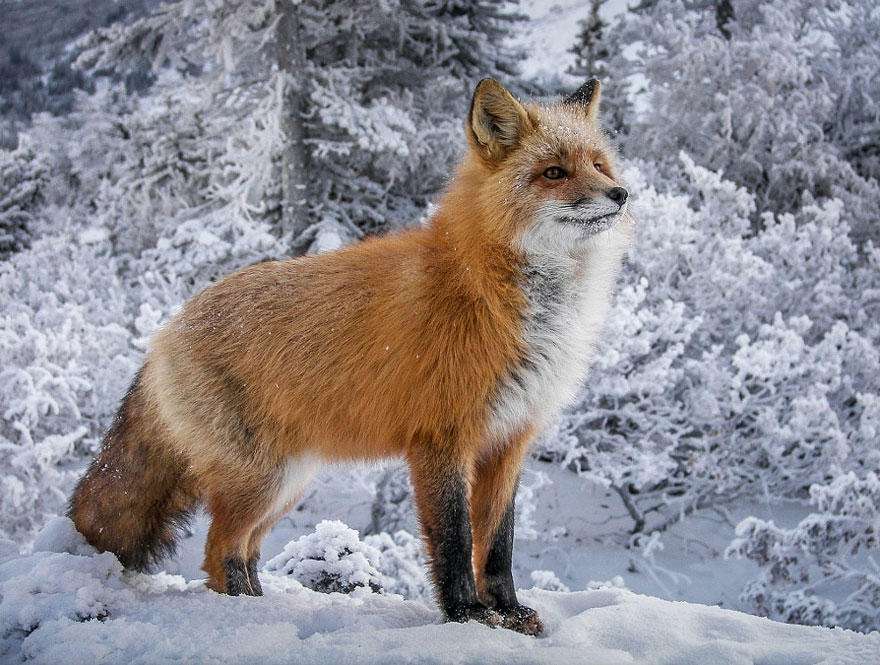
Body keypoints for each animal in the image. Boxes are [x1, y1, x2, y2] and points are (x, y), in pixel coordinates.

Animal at [69, 76, 632, 632]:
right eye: (554, 172)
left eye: (600, 165)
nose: (621, 194)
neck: (500, 294)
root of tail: (167, 329)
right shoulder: (441, 439)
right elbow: (453, 543)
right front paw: (467, 616)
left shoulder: (509, 441)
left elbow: (496, 545)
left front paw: (508, 612)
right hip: (263, 479)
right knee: (217, 549)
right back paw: (246, 618)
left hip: (287, 482)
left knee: (242, 550)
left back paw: (262, 605)